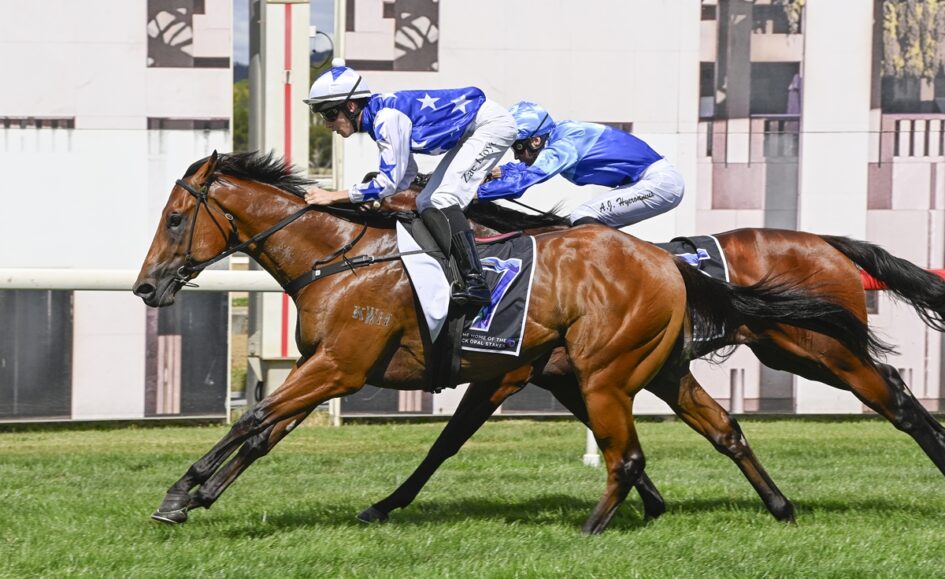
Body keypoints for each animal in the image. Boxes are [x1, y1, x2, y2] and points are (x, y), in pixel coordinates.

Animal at [133, 152, 880, 534]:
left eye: (174, 219)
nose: (145, 286)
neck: (341, 257)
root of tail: (667, 263)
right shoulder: (336, 365)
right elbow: (264, 431)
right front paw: (199, 494)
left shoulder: (341, 365)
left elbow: (253, 420)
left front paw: (178, 492)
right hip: (653, 367)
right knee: (719, 428)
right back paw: (777, 505)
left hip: (621, 369)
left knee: (629, 450)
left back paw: (594, 526)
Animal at [357, 185, 945, 525]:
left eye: (405, 188)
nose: (367, 202)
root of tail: (827, 242)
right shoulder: (575, 376)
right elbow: (628, 435)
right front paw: (652, 503)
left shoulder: (511, 374)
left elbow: (447, 441)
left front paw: (383, 505)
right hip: (796, 352)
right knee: (889, 384)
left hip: (818, 351)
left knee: (893, 396)